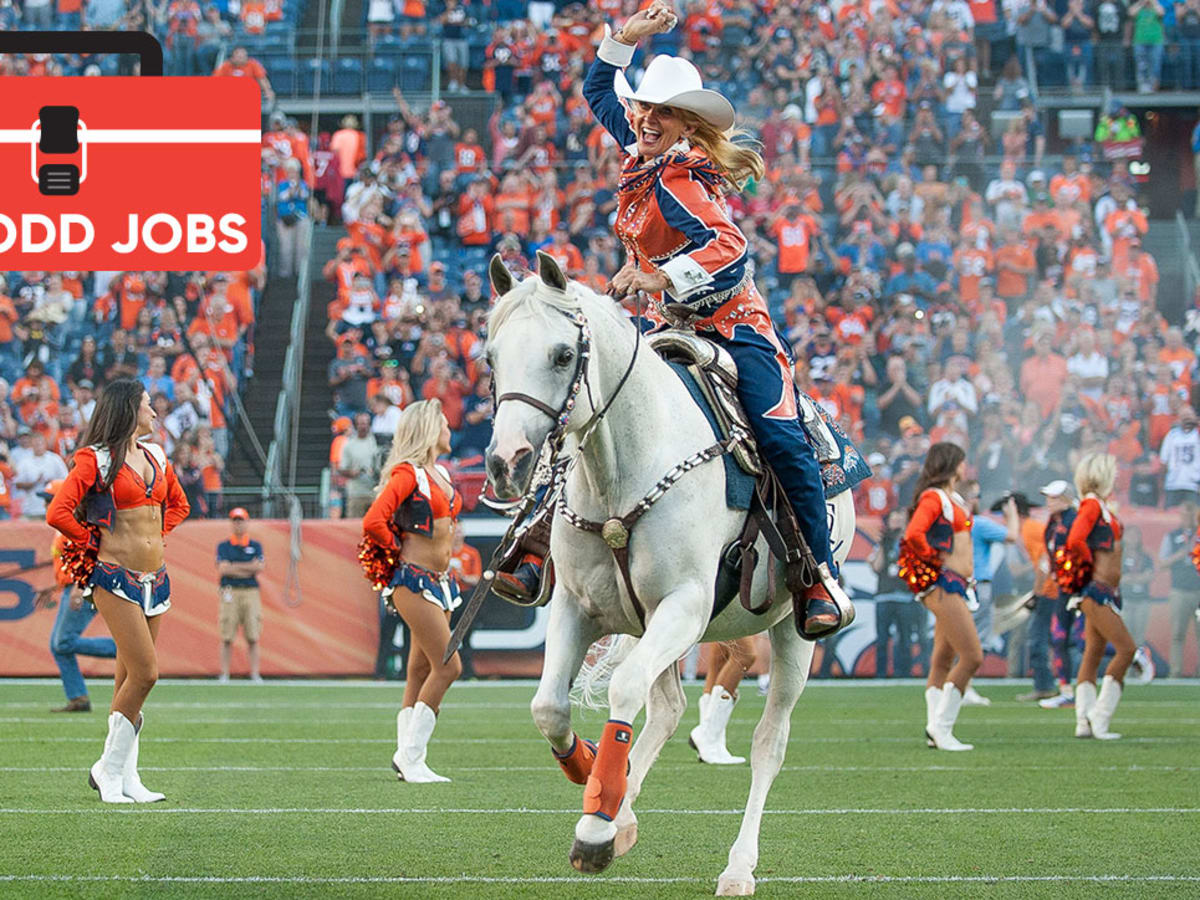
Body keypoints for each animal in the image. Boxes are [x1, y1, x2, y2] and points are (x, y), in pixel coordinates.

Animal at [480, 252, 854, 897]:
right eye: (491, 357)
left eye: (562, 354)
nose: (508, 463)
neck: (624, 469)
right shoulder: (579, 607)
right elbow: (549, 707)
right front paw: (591, 775)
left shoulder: (684, 606)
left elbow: (624, 689)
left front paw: (594, 830)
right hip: (645, 623)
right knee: (669, 709)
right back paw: (624, 814)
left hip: (790, 633)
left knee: (769, 742)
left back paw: (737, 867)